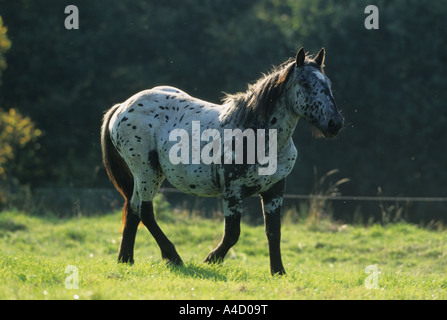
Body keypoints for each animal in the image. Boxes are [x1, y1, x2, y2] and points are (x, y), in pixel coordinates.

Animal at [101, 47, 344, 276]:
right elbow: (232, 234)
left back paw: (126, 260)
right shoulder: (232, 190)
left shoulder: (275, 189)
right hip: (146, 171)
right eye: (305, 83)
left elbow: (274, 232)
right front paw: (210, 260)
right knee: (145, 211)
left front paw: (278, 271)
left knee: (133, 208)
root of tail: (122, 107)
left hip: (150, 174)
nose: (335, 123)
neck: (257, 134)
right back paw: (173, 257)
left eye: (329, 83)